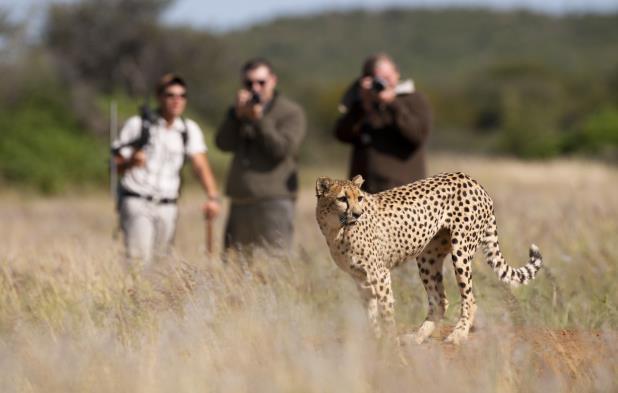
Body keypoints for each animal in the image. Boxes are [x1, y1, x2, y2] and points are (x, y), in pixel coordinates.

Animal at [316, 172, 540, 344]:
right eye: (342, 199)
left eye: (359, 198)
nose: (357, 213)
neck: (337, 230)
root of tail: (472, 179)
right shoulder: (361, 279)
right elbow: (371, 314)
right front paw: (376, 341)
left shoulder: (380, 274)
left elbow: (386, 312)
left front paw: (389, 344)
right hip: (428, 258)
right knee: (440, 300)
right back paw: (418, 336)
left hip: (461, 251)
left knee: (470, 298)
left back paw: (458, 335)